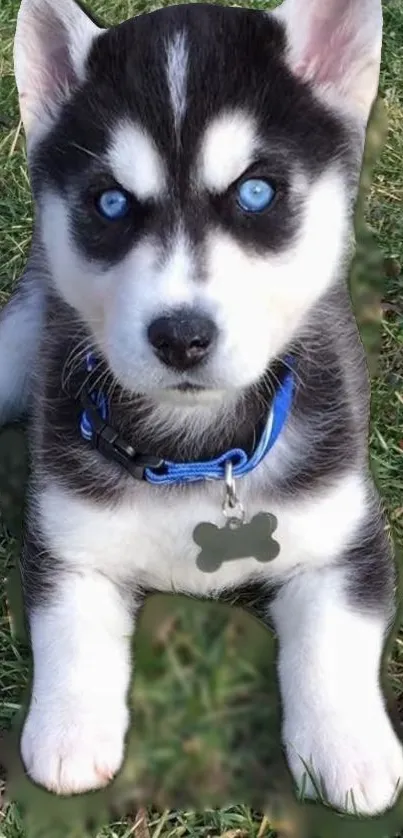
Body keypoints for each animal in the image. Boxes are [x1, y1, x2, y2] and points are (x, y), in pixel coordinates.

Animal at [1, 0, 402, 820]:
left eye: (256, 193)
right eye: (110, 202)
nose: (180, 336)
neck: (195, 449)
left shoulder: (344, 531)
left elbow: (337, 633)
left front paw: (347, 747)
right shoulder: (69, 538)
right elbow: (70, 628)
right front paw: (68, 732)